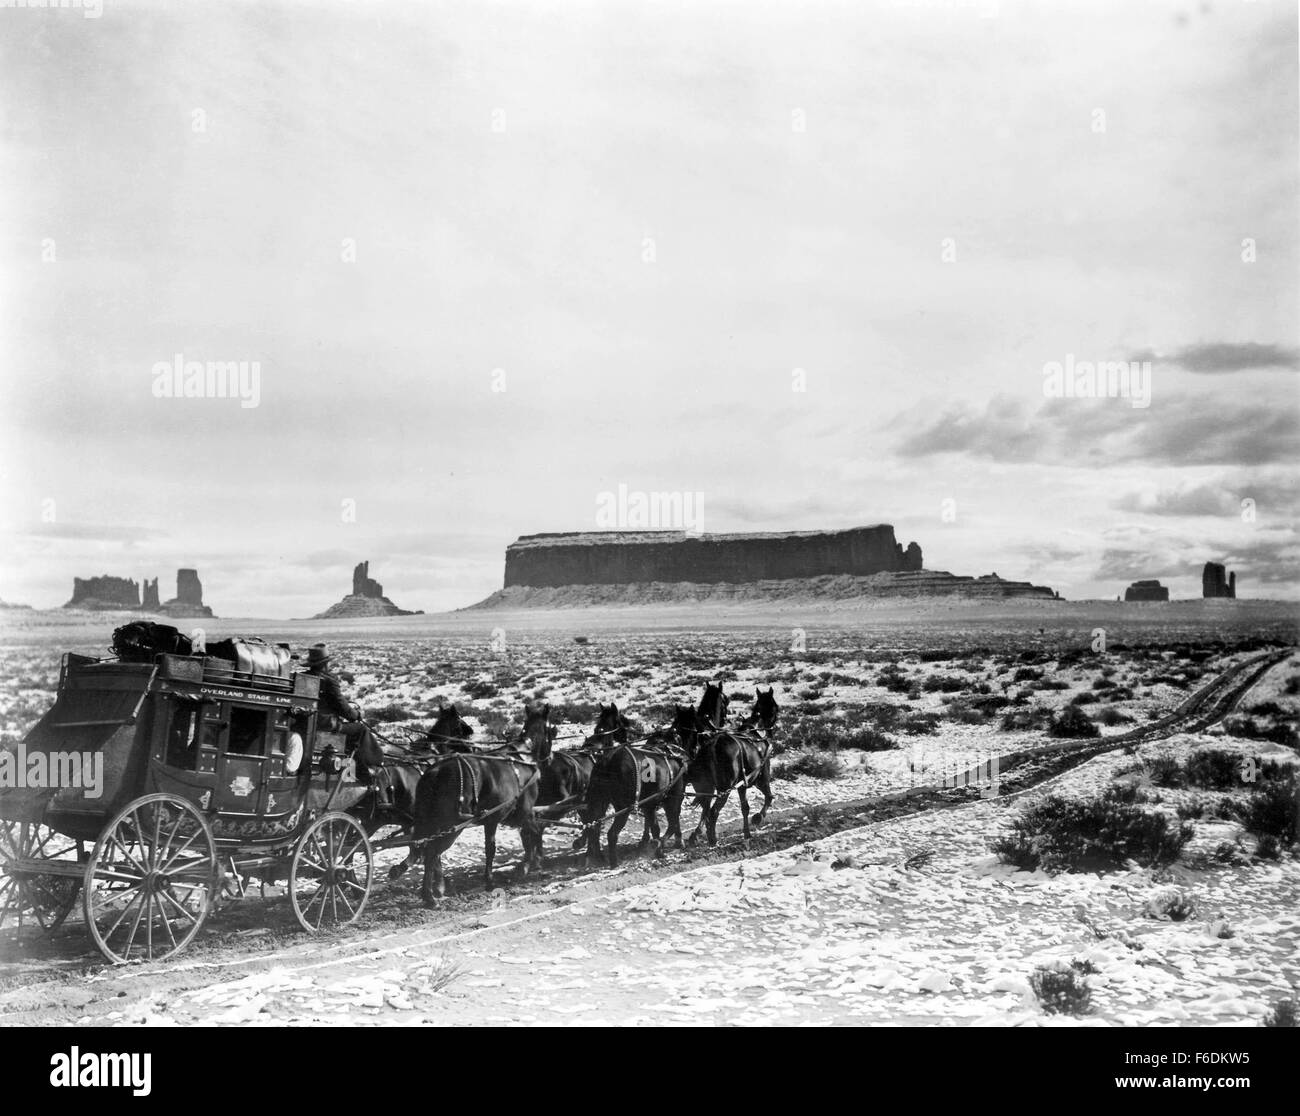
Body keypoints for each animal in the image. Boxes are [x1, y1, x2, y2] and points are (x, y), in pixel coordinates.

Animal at [413, 702, 551, 900]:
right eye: (551, 729)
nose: (549, 759)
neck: (523, 757)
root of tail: (435, 772)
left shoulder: (498, 819)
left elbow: (521, 837)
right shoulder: (520, 813)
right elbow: (530, 832)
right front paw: (526, 865)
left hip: (435, 825)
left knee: (429, 851)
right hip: (451, 827)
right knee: (432, 852)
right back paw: (429, 896)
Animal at [686, 676, 774, 842]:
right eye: (725, 700)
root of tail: (714, 744)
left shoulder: (741, 784)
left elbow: (745, 807)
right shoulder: (761, 777)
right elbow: (769, 797)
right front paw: (758, 817)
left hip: (706, 785)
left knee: (706, 807)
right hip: (724, 788)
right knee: (713, 810)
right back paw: (711, 838)